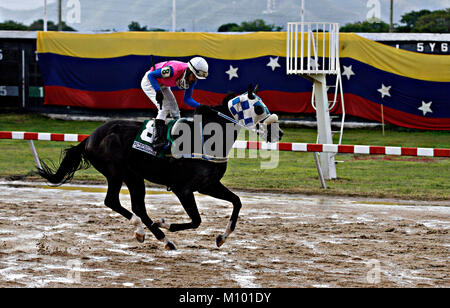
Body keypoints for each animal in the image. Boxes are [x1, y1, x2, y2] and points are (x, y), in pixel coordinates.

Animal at [39, 86, 284, 250]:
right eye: (258, 107)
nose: (279, 133)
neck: (206, 138)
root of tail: (89, 138)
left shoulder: (209, 184)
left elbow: (237, 202)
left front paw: (222, 238)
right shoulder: (183, 189)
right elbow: (197, 220)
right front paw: (166, 223)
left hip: (133, 176)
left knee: (134, 206)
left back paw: (153, 235)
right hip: (118, 173)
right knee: (116, 202)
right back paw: (155, 234)